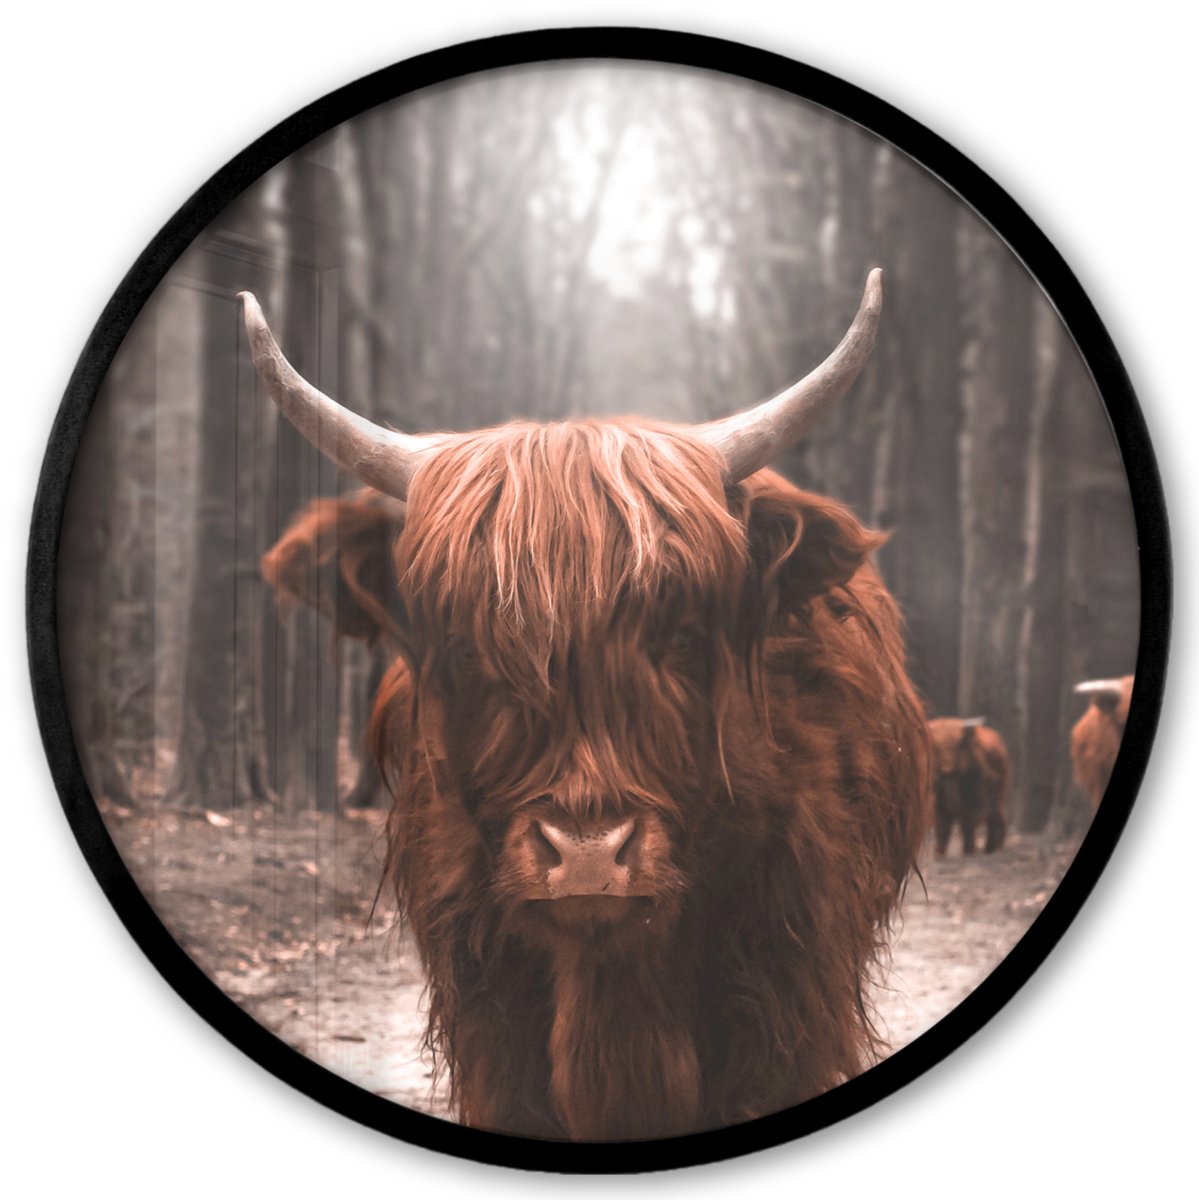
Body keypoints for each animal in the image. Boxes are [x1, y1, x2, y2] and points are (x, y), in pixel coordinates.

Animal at [926, 717, 1008, 857]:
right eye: (936, 747)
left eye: (958, 745)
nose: (947, 768)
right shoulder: (938, 805)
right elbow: (942, 827)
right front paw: (938, 854)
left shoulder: (973, 801)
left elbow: (967, 825)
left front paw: (969, 851)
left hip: (999, 796)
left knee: (996, 818)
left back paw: (994, 848)